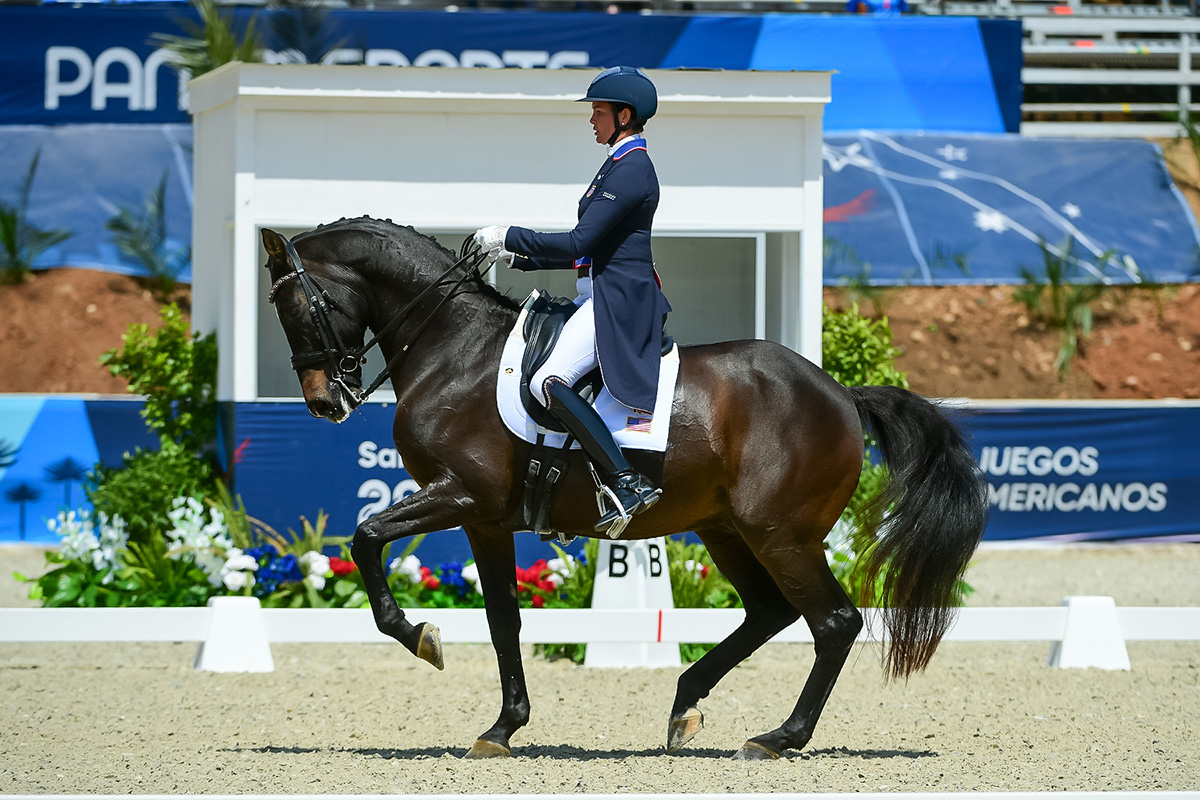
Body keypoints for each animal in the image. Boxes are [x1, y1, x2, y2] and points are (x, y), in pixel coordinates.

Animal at [260, 217, 984, 762]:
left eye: (294, 304)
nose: (326, 402)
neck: (454, 353)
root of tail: (839, 392)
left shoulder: (459, 496)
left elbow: (365, 538)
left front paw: (421, 638)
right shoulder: (485, 521)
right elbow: (502, 619)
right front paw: (502, 728)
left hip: (781, 533)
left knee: (833, 623)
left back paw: (778, 737)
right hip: (727, 529)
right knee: (768, 613)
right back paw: (686, 706)